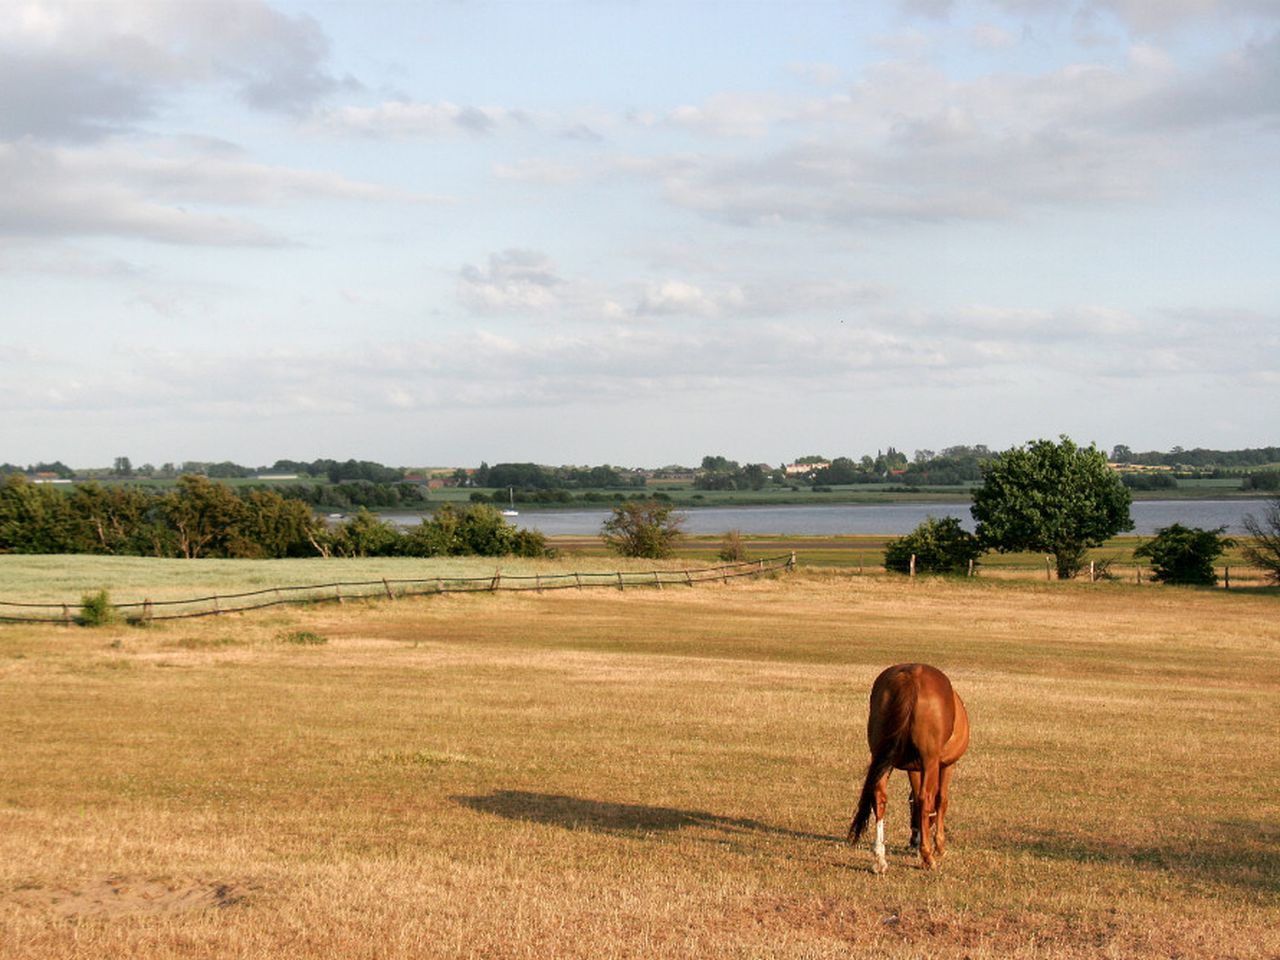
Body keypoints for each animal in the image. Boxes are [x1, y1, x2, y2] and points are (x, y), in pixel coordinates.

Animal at [849, 665, 967, 875]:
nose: (912, 840)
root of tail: (911, 676)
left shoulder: (914, 768)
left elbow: (915, 801)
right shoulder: (945, 765)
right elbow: (940, 801)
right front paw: (939, 846)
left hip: (882, 756)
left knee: (879, 796)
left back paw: (880, 858)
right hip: (929, 760)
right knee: (926, 797)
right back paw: (928, 857)